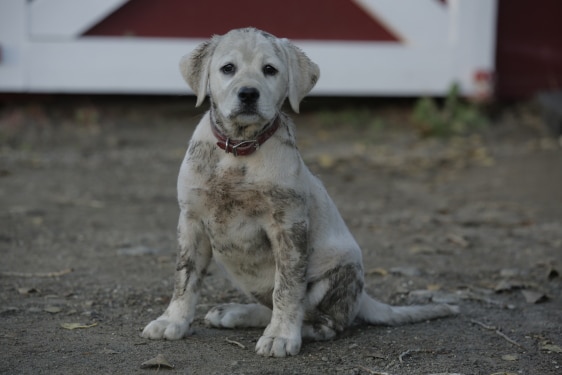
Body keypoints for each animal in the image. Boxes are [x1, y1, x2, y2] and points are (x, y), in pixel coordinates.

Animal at [141, 27, 456, 358]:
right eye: (228, 68)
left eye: (270, 70)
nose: (248, 94)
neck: (240, 151)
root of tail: (362, 296)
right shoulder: (191, 221)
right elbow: (185, 277)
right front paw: (172, 320)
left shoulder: (288, 226)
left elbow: (288, 288)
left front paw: (280, 336)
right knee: (273, 303)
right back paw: (239, 313)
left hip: (335, 273)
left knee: (325, 321)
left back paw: (296, 329)